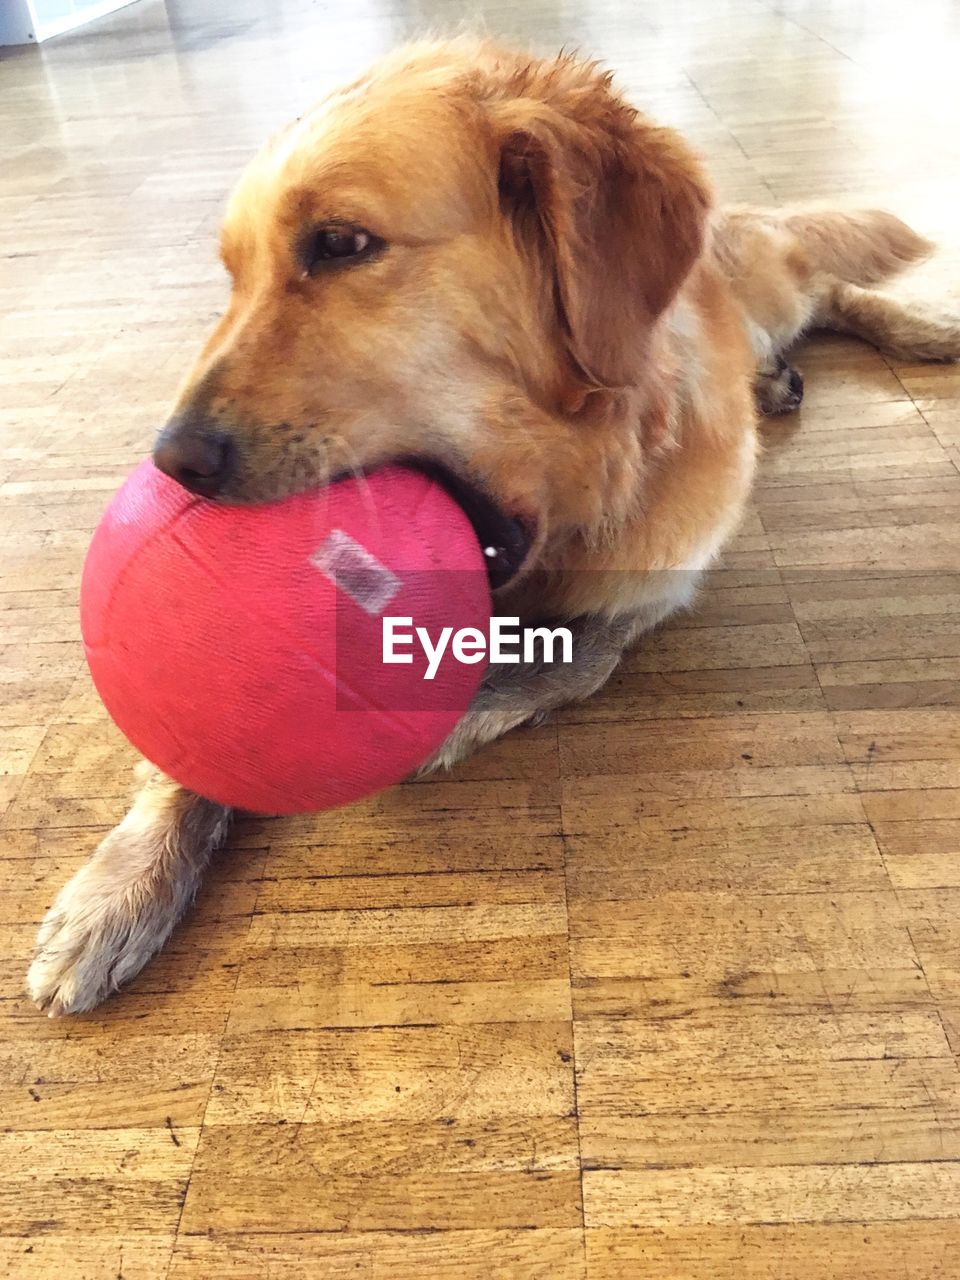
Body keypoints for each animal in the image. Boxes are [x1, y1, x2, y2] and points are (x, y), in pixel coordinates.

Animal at [26, 37, 957, 1018]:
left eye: (341, 244)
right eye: (234, 277)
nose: (173, 463)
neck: (574, 490)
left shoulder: (647, 588)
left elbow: (571, 658)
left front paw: (450, 715)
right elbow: (182, 748)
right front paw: (121, 885)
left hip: (769, 287)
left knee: (831, 279)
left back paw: (923, 327)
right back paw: (778, 374)